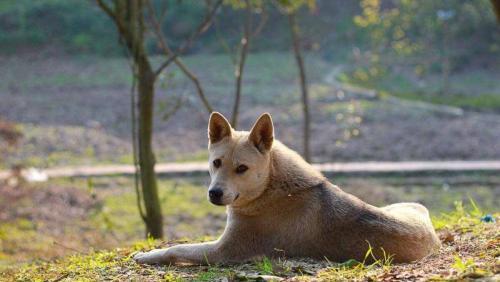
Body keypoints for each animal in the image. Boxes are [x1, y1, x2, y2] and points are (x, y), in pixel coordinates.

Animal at [134, 112, 442, 264]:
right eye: (216, 162)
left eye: (242, 168)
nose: (214, 193)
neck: (270, 187)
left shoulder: (224, 251)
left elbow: (176, 250)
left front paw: (146, 256)